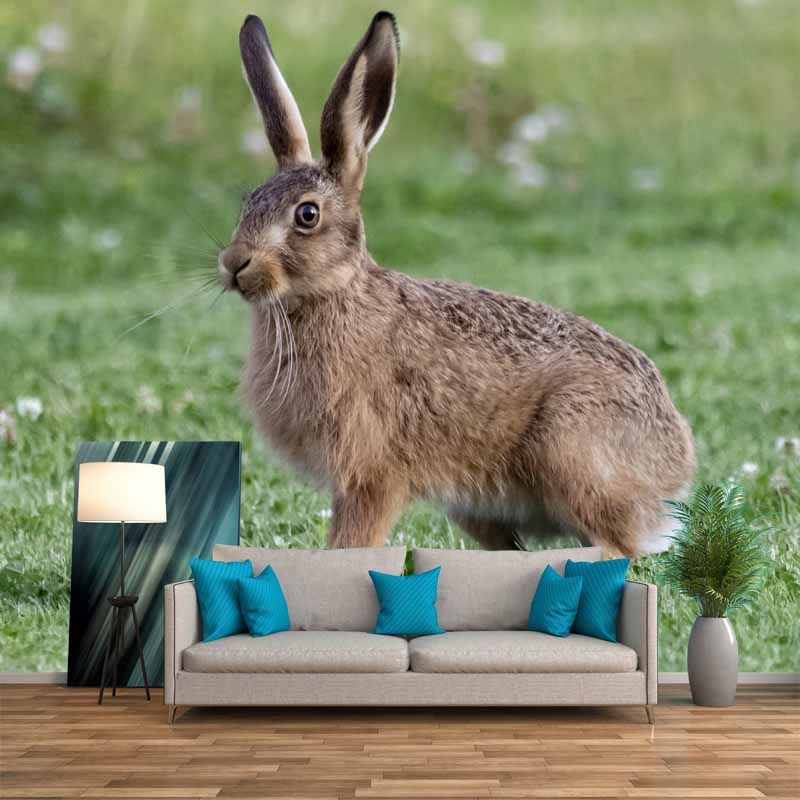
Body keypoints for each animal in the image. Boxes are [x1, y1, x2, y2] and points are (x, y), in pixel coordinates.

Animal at [218, 12, 696, 557]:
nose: (233, 263)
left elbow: (350, 545)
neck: (331, 294)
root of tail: (676, 465)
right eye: (248, 203)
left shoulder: (372, 475)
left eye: (307, 215)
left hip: (571, 450)